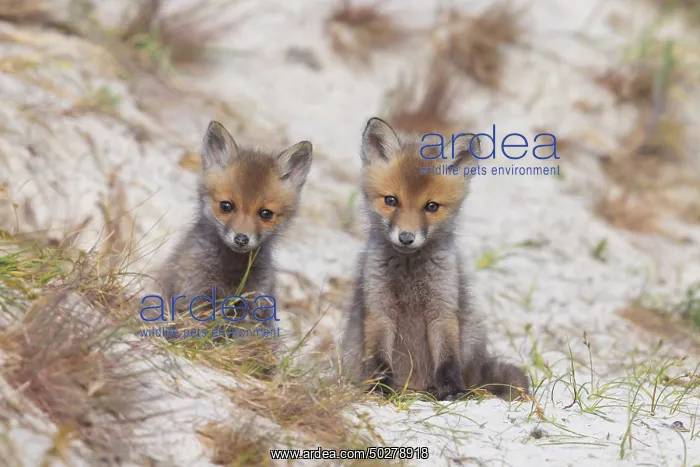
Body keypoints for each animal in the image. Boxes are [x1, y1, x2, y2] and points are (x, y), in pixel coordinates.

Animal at [157, 121, 313, 326]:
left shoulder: (255, 302)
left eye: (266, 214)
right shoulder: (193, 294)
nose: (241, 239)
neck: (232, 267)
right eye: (226, 206)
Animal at [340, 117, 530, 401]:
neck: (409, 273)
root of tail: (414, 388)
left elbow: (447, 359)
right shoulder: (378, 308)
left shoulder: (442, 310)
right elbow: (380, 360)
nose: (406, 237)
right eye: (391, 200)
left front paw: (452, 391)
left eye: (431, 207)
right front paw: (381, 388)